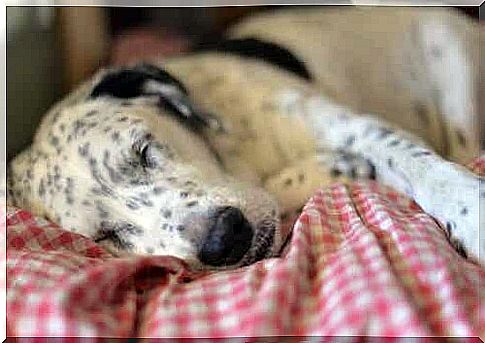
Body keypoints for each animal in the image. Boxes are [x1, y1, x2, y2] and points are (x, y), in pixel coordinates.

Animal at [5, 7, 482, 268]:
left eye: (145, 150)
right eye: (105, 236)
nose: (224, 240)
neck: (240, 155)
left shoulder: (356, 127)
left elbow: (424, 167)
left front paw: (471, 211)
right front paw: (332, 168)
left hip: (451, 61)